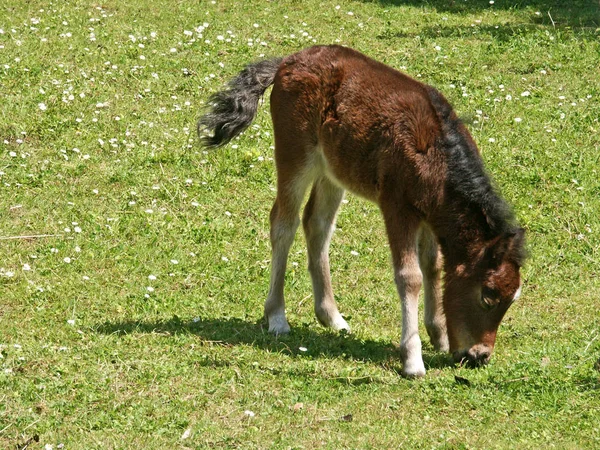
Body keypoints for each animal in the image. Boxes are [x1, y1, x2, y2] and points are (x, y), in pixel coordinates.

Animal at [198, 44, 524, 376]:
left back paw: (332, 317)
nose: (479, 355)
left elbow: (433, 266)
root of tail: (287, 62)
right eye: (487, 296)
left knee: (317, 224)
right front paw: (412, 360)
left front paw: (440, 337)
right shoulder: (397, 207)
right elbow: (410, 276)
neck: (437, 156)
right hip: (295, 155)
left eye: (512, 299)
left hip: (332, 172)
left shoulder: (431, 215)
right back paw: (277, 317)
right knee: (284, 223)